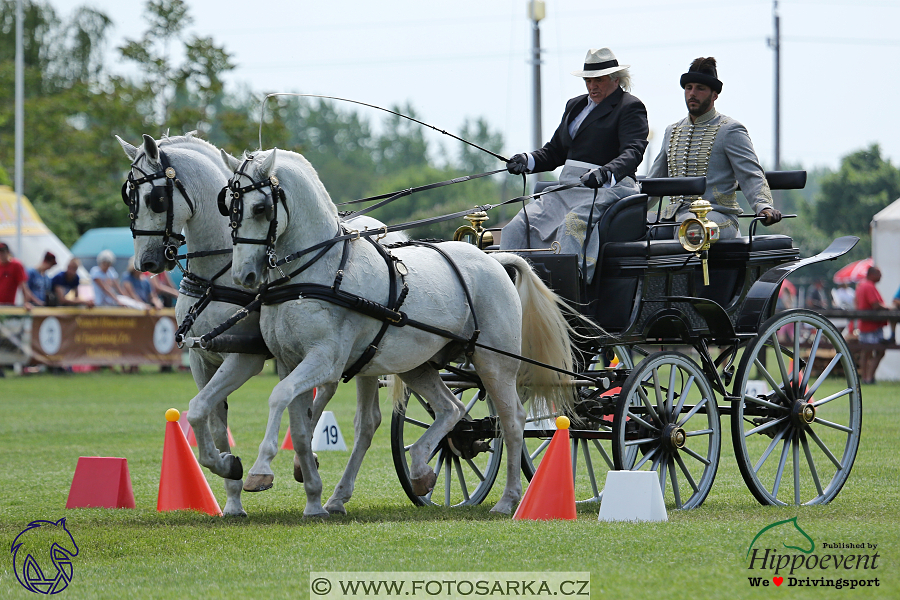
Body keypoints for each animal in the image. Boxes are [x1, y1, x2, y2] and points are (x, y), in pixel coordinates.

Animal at [117, 132, 404, 516]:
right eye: (129, 198)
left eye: (156, 199)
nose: (145, 263)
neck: (218, 274)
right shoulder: (201, 358)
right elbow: (209, 418)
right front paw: (231, 489)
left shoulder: (245, 357)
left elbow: (198, 410)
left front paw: (237, 469)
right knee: (325, 394)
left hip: (366, 358)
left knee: (362, 420)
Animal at [225, 148, 576, 512]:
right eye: (229, 208)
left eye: (260, 208)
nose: (243, 275)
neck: (318, 271)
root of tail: (495, 259)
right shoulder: (289, 362)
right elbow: (299, 424)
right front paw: (311, 493)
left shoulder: (325, 361)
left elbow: (279, 397)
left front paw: (260, 471)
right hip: (416, 365)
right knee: (451, 408)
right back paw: (418, 470)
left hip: (494, 363)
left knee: (512, 420)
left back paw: (508, 500)